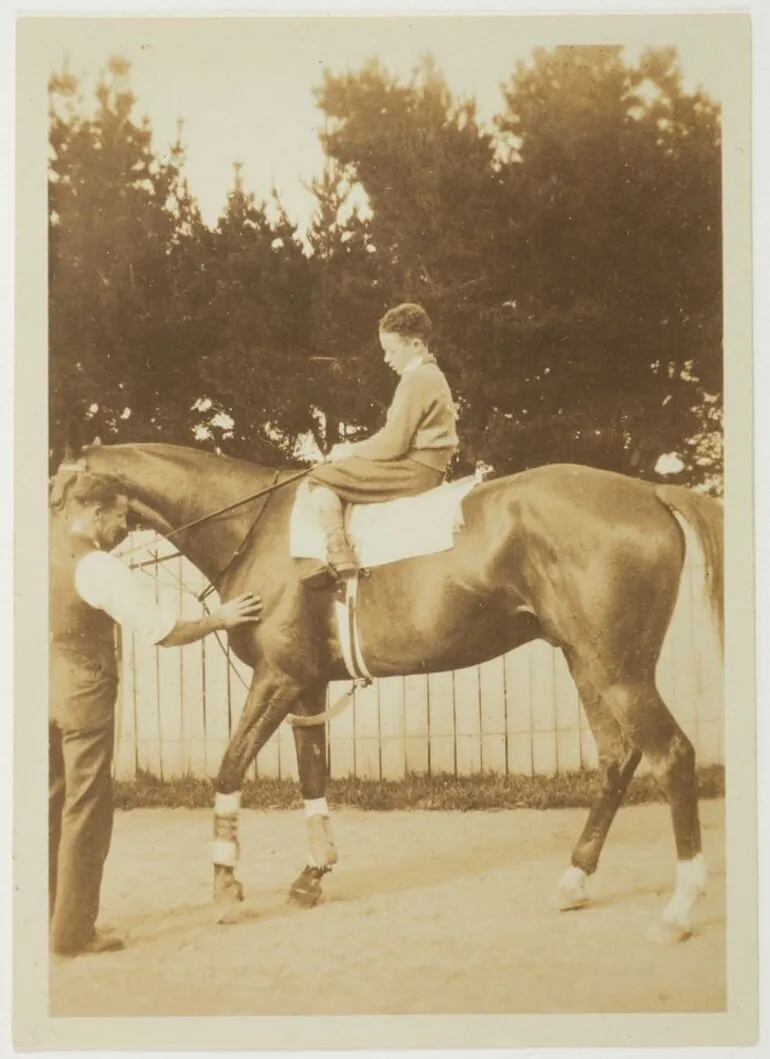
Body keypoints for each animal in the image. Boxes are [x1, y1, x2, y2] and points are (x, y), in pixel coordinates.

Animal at [51, 438, 724, 944]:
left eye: (59, 492)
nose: (62, 554)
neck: (255, 529)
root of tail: (647, 491)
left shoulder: (277, 679)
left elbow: (229, 768)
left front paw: (226, 887)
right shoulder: (307, 688)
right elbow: (312, 779)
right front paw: (312, 875)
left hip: (618, 668)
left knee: (672, 755)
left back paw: (679, 909)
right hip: (585, 661)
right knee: (618, 757)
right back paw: (575, 882)